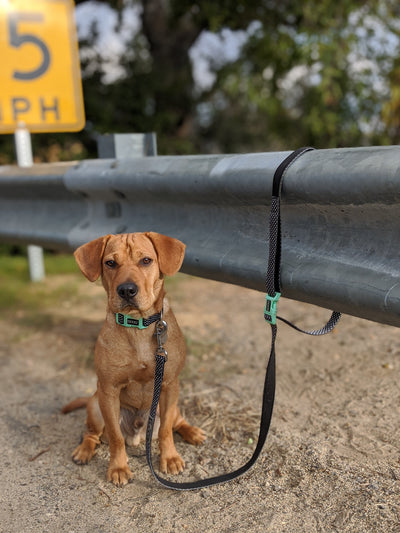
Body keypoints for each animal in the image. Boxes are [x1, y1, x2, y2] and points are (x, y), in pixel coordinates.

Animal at [64, 231, 206, 484]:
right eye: (110, 263)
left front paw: (169, 458)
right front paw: (118, 467)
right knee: (92, 433)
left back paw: (192, 432)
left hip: (172, 404)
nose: (127, 290)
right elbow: (115, 437)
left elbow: (166, 430)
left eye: (146, 261)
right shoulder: (108, 390)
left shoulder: (169, 385)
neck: (137, 324)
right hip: (95, 406)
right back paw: (84, 450)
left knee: (177, 422)